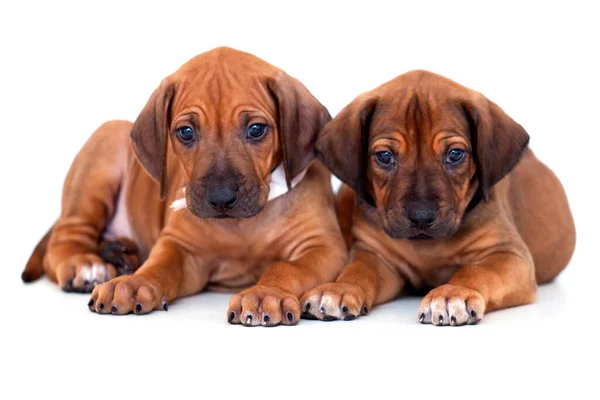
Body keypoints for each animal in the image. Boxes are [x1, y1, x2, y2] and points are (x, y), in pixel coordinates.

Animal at [22, 48, 346, 326]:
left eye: (256, 130)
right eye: (186, 132)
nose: (221, 198)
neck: (242, 228)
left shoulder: (322, 246)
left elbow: (287, 267)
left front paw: (266, 292)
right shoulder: (181, 248)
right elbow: (161, 266)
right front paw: (133, 283)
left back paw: (120, 254)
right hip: (105, 146)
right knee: (65, 238)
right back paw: (87, 265)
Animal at [304, 69, 576, 324]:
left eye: (455, 154)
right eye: (384, 156)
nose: (421, 217)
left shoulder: (509, 255)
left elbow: (476, 271)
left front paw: (452, 292)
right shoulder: (375, 255)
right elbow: (358, 271)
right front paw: (339, 288)